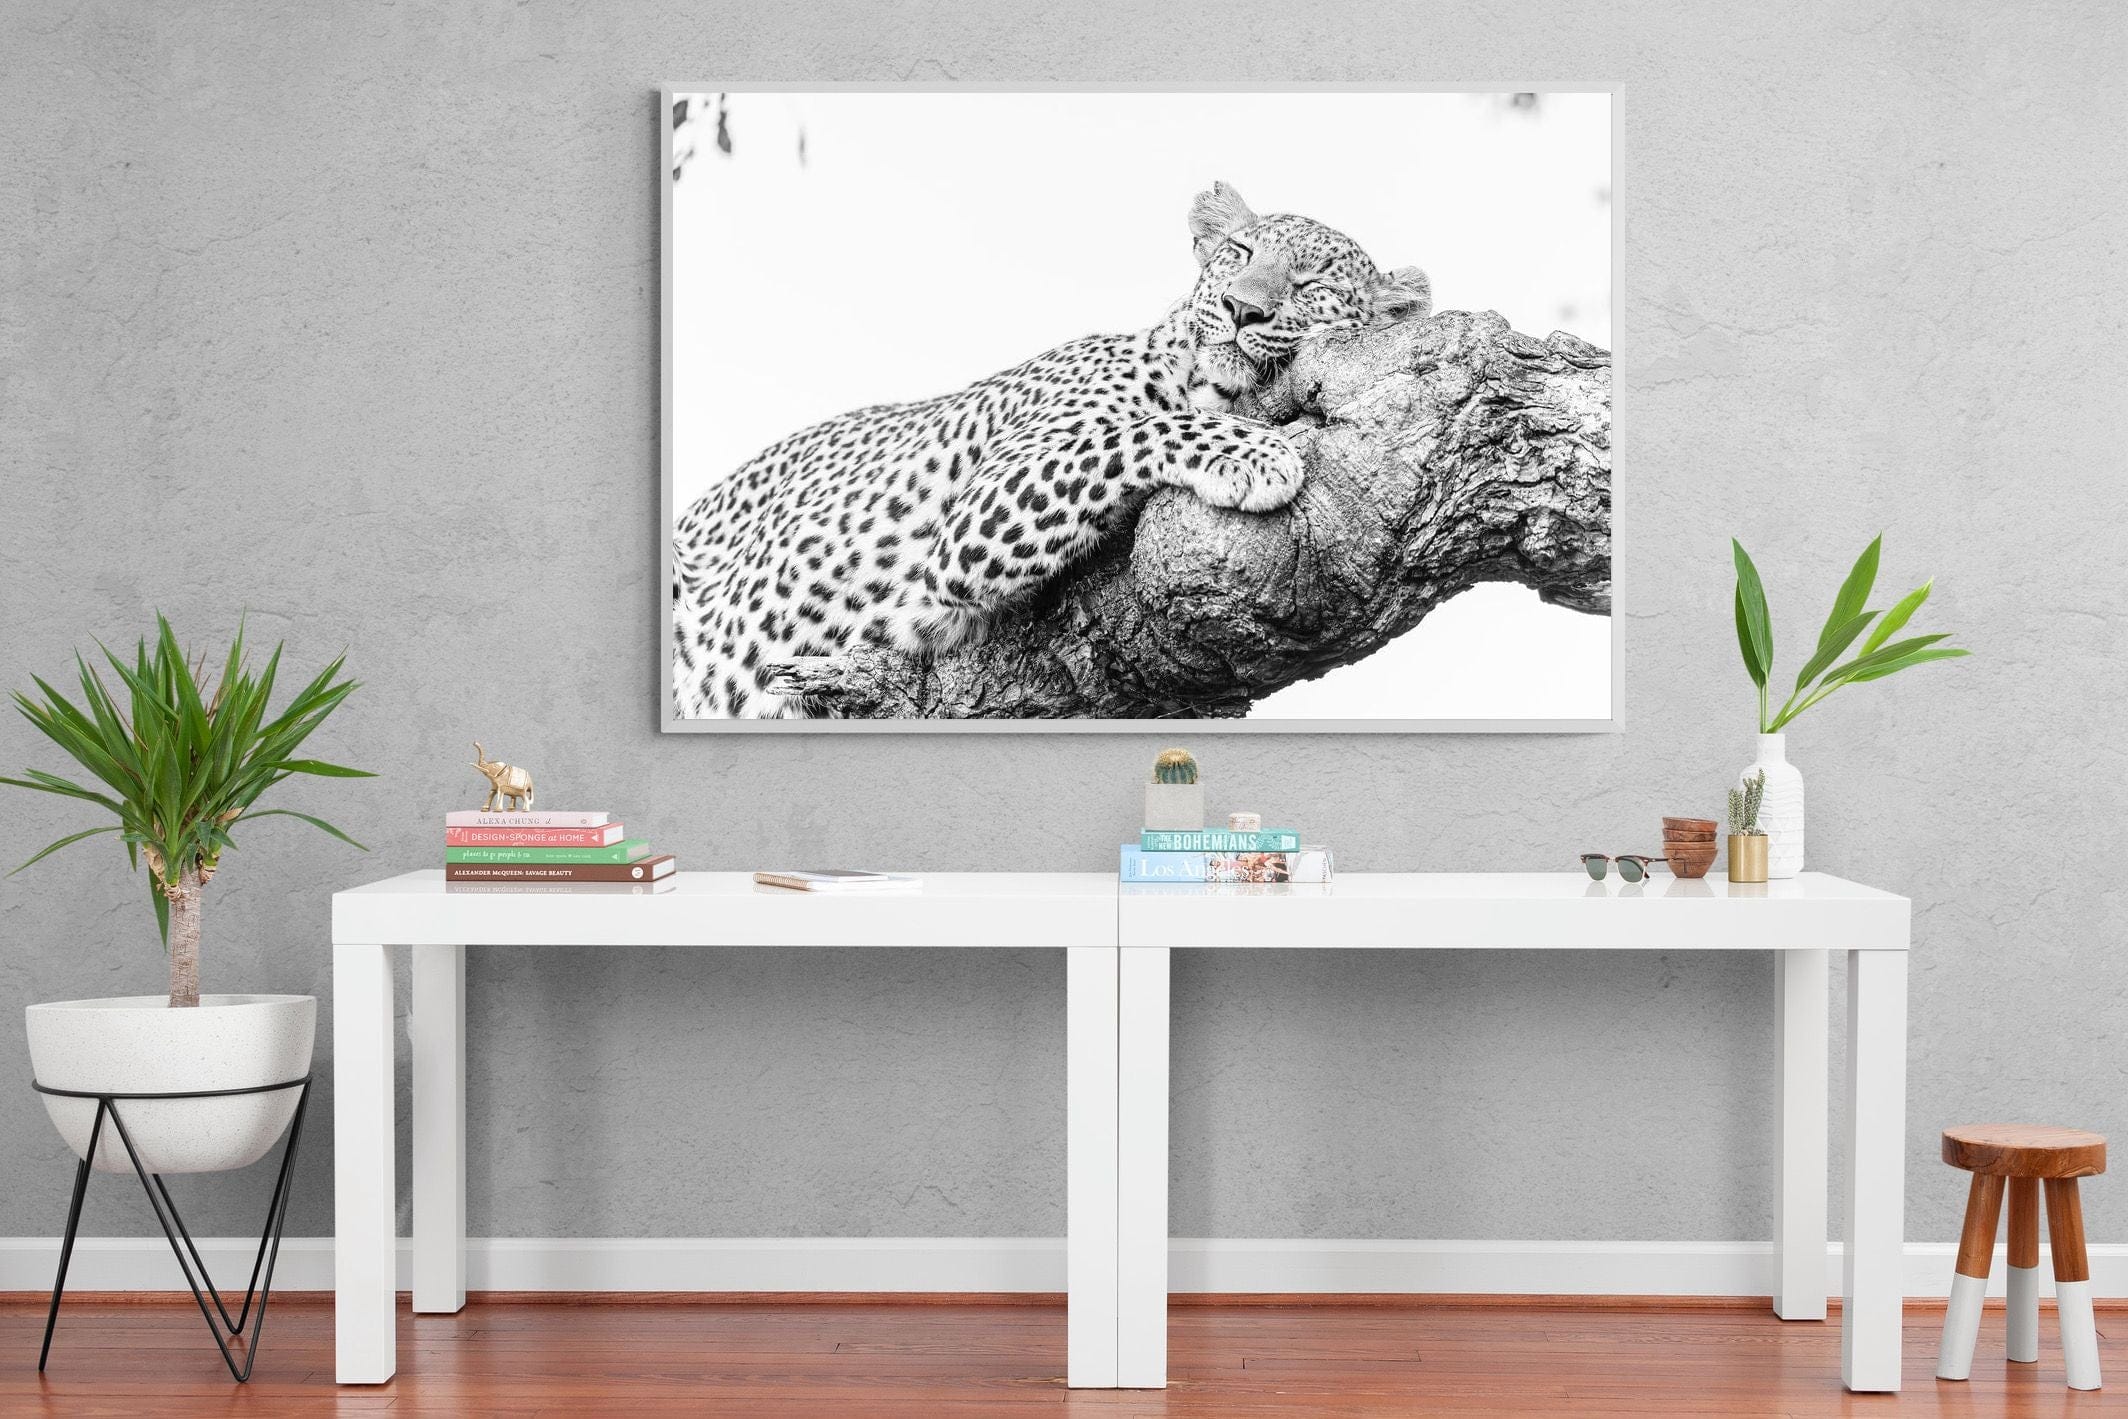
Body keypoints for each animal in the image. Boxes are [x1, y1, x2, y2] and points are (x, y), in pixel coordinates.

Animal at [671, 181, 1430, 718]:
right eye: (1239, 255)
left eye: (1312, 284)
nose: (1244, 309)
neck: (1200, 377)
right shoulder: (973, 517)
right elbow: (1133, 432)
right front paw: (1256, 452)